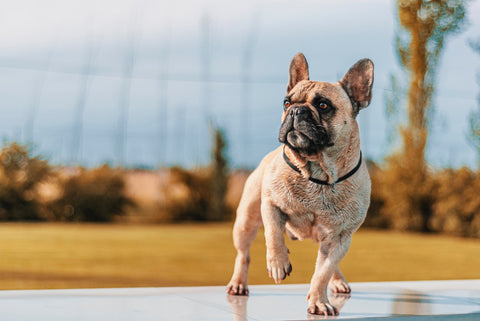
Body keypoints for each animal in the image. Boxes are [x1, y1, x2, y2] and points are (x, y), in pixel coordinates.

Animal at [227, 52, 374, 316]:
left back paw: (337, 281)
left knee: (327, 264)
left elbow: (323, 271)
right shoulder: (271, 205)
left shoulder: (341, 237)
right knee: (243, 254)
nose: (296, 111)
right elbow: (273, 234)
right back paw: (239, 283)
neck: (318, 172)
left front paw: (319, 301)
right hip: (246, 220)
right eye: (286, 103)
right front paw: (277, 263)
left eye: (323, 105)